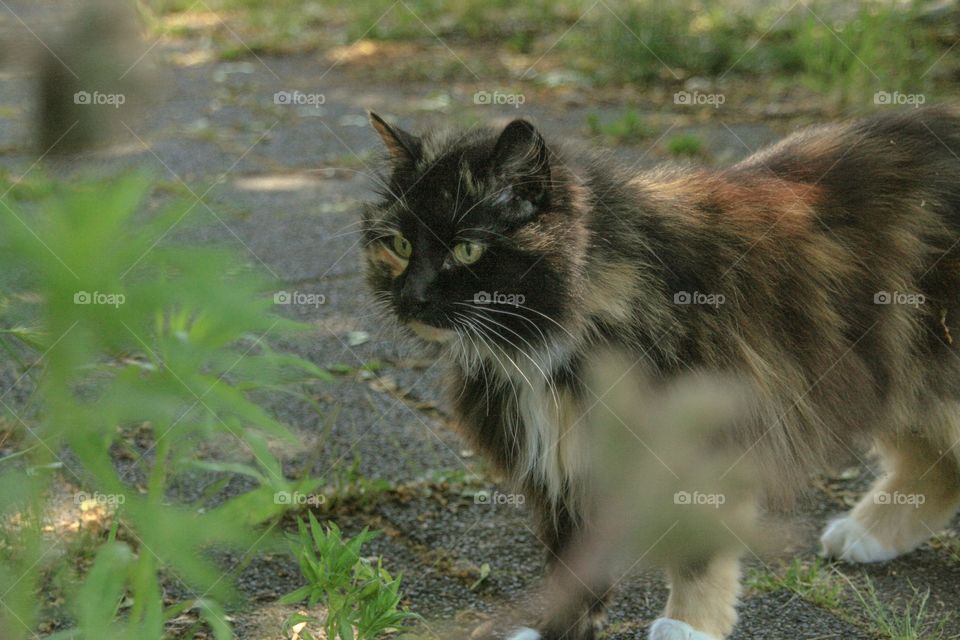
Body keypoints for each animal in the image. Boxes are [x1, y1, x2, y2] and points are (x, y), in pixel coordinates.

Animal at [358, 106, 960, 640]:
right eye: (400, 244)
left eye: (467, 250)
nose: (411, 298)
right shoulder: (565, 464)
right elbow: (571, 572)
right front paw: (557, 631)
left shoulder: (702, 449)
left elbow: (699, 556)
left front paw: (689, 626)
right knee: (935, 468)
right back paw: (867, 535)